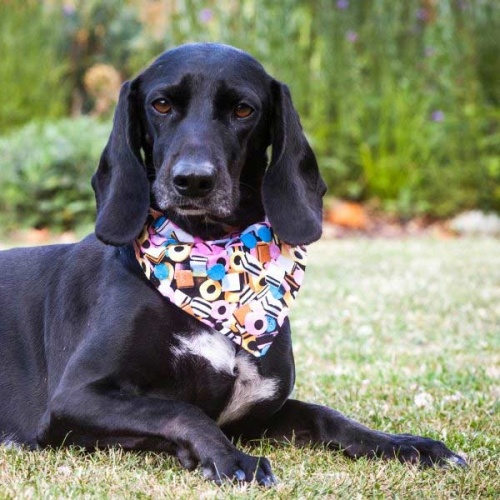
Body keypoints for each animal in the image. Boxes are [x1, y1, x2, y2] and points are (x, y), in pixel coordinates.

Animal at [0, 44, 464, 484]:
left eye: (243, 109)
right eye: (161, 104)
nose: (193, 180)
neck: (211, 259)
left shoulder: (257, 414)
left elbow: (325, 413)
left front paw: (404, 444)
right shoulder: (75, 397)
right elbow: (180, 410)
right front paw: (229, 458)